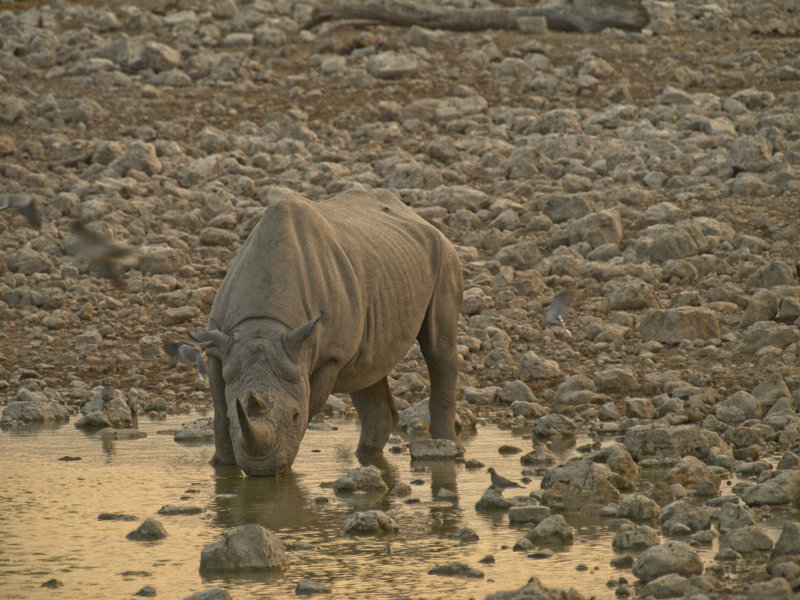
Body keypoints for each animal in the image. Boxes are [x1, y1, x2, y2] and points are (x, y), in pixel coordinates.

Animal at [192, 188, 463, 476]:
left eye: (295, 416)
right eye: (234, 418)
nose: (262, 471)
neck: (263, 324)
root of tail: (417, 216)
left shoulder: (329, 356)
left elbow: (309, 404)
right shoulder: (219, 346)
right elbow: (219, 410)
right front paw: (221, 466)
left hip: (445, 255)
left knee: (438, 347)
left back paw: (447, 449)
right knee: (368, 368)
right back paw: (367, 458)